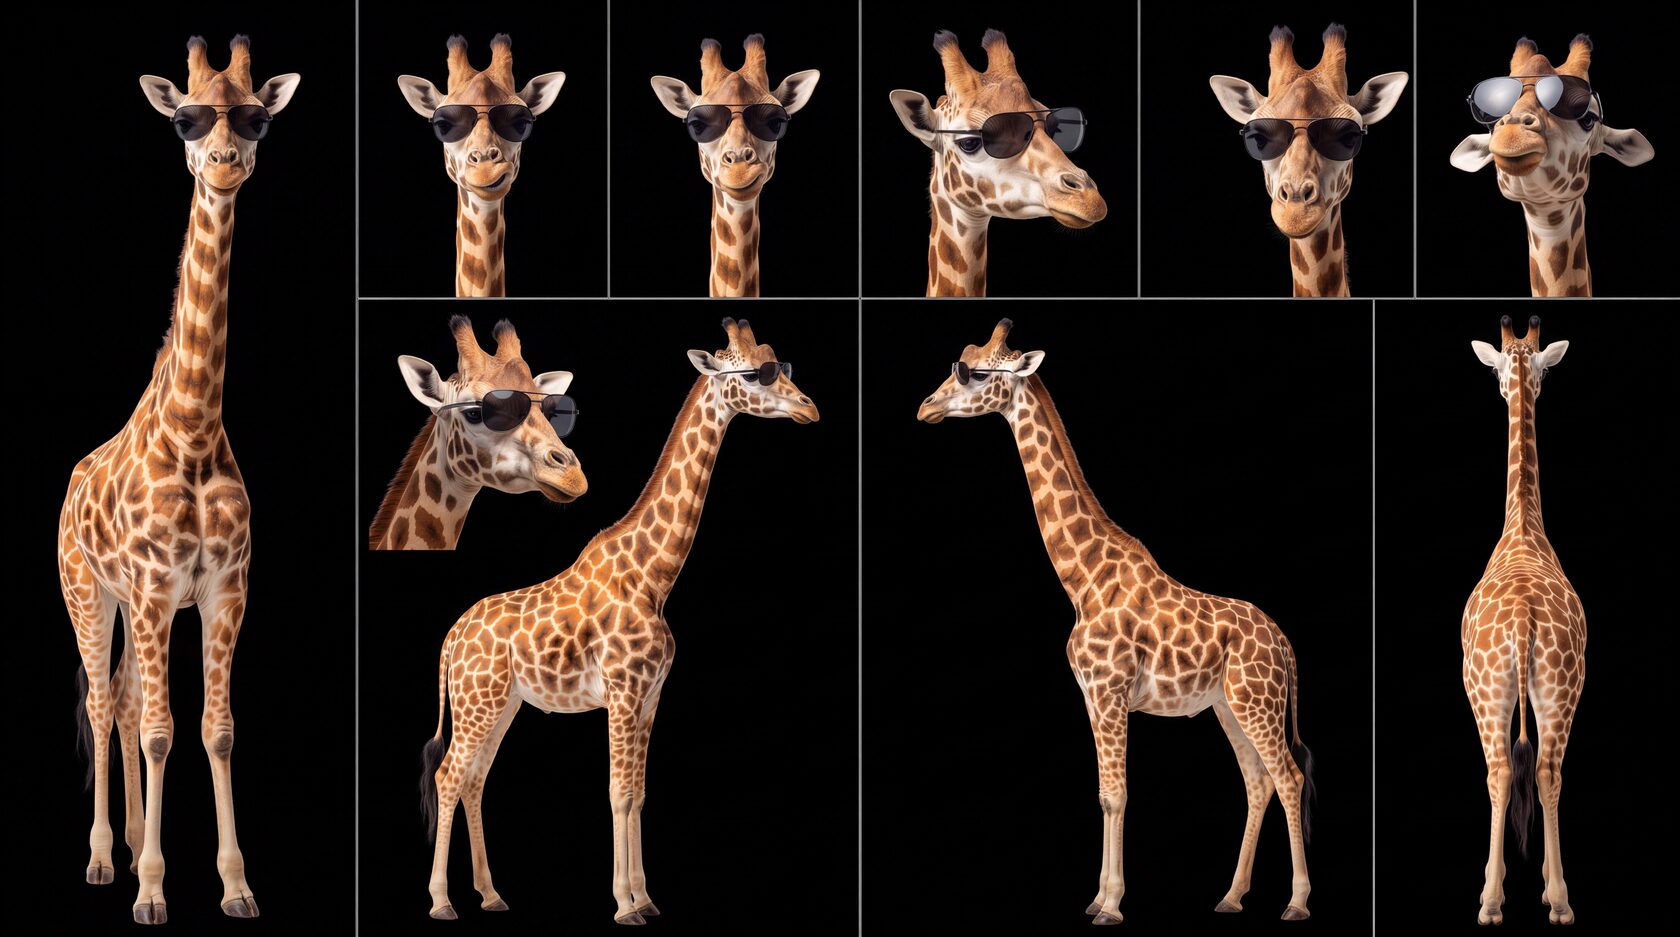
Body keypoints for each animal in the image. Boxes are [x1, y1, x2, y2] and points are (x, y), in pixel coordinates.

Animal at [59, 35, 299, 924]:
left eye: (256, 116)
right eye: (187, 118)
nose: (225, 164)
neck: (192, 433)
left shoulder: (224, 588)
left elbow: (215, 728)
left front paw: (234, 884)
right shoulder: (157, 588)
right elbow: (161, 729)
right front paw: (155, 891)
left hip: (131, 604)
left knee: (125, 700)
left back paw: (129, 845)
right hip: (89, 590)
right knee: (105, 705)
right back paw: (105, 859)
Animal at [416, 317, 818, 922]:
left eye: (780, 365)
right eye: (754, 375)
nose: (808, 407)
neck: (655, 575)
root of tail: (451, 637)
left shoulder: (651, 697)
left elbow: (639, 794)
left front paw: (646, 897)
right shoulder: (624, 692)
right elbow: (618, 792)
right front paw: (625, 904)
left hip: (501, 703)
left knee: (474, 779)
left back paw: (491, 894)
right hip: (477, 702)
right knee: (449, 775)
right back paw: (442, 901)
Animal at [916, 319, 1315, 924]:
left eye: (976, 373)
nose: (926, 407)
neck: (1081, 580)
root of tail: (1284, 642)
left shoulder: (1110, 691)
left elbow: (1118, 793)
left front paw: (1111, 905)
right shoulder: (1091, 695)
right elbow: (1104, 793)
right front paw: (1098, 897)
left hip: (1256, 703)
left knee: (1288, 777)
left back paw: (1296, 902)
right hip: (1228, 705)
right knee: (1257, 781)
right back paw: (1230, 896)